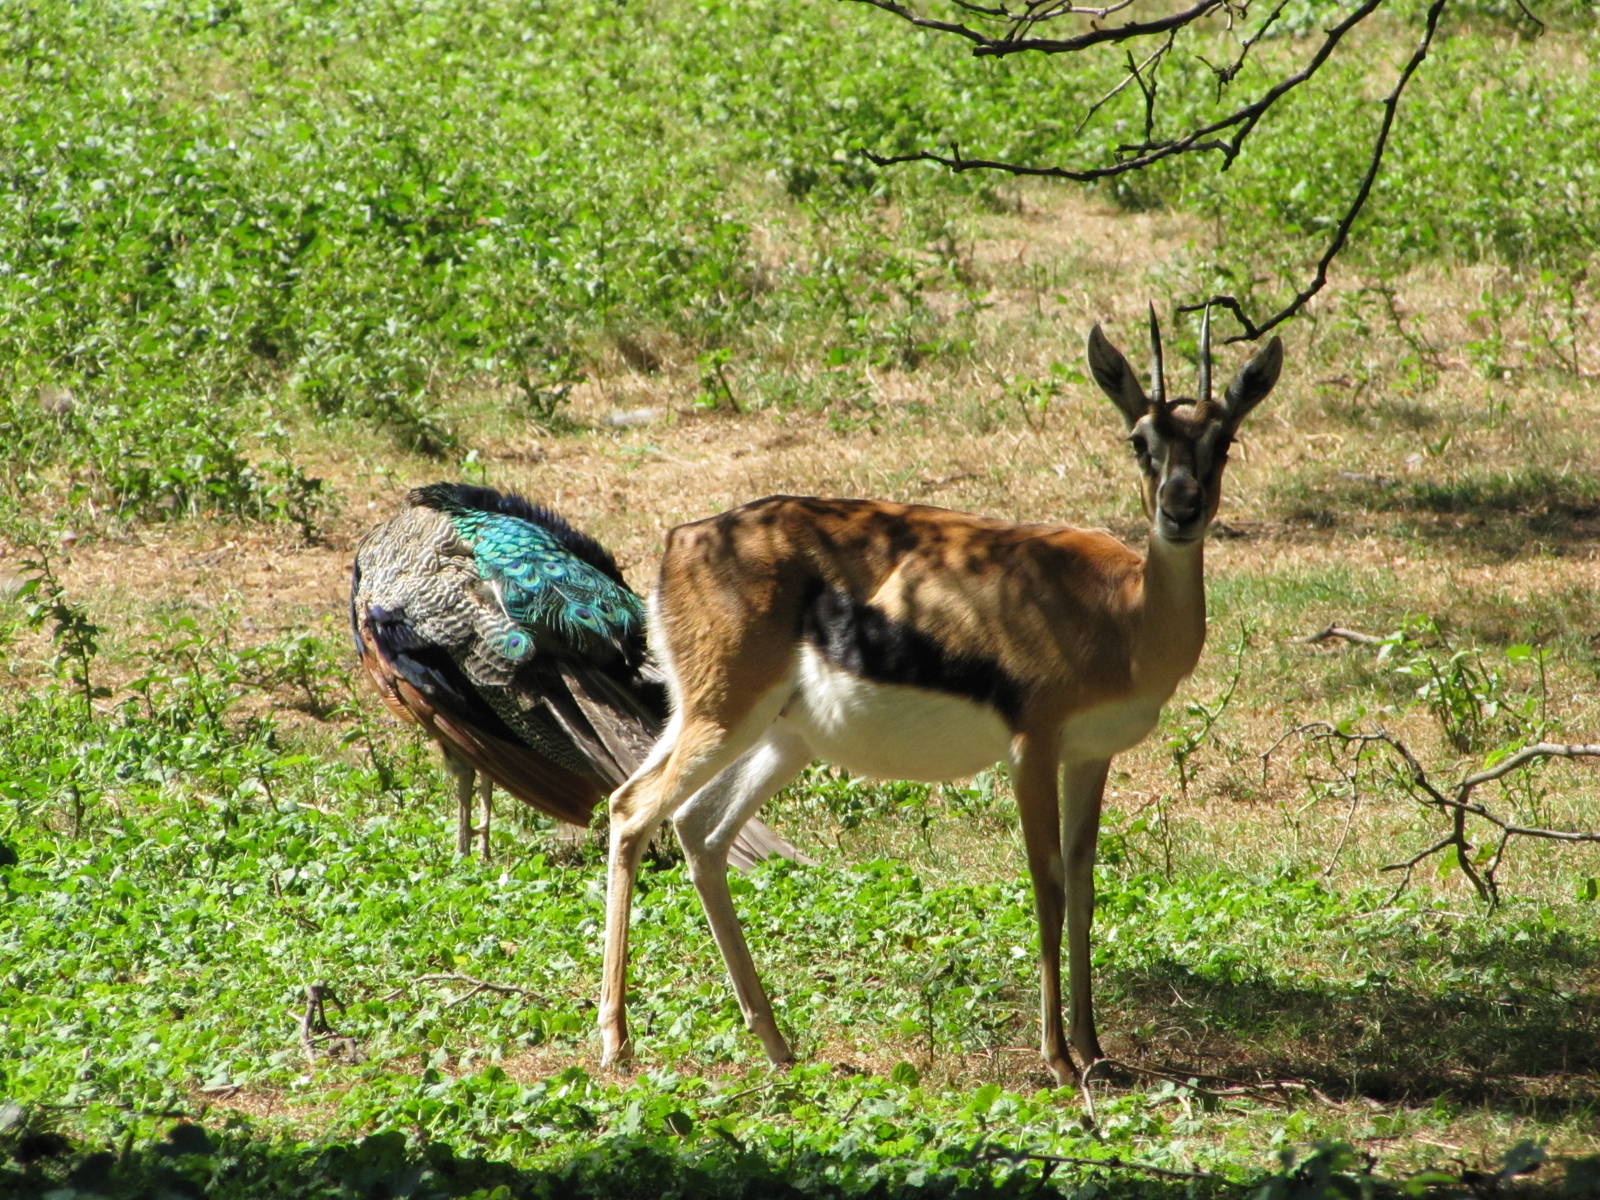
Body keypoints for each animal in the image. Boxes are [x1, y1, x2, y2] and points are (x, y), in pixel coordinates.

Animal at [599, 308, 1283, 1084]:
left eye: (1224, 440)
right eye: (1140, 439)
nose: (1181, 510)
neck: (1126, 615)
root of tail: (681, 540)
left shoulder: (1089, 756)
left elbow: (1083, 883)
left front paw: (1094, 1050)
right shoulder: (1031, 749)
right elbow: (1047, 883)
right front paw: (1057, 1058)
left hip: (776, 737)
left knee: (699, 832)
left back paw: (776, 1044)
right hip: (723, 717)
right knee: (631, 810)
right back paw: (618, 1044)